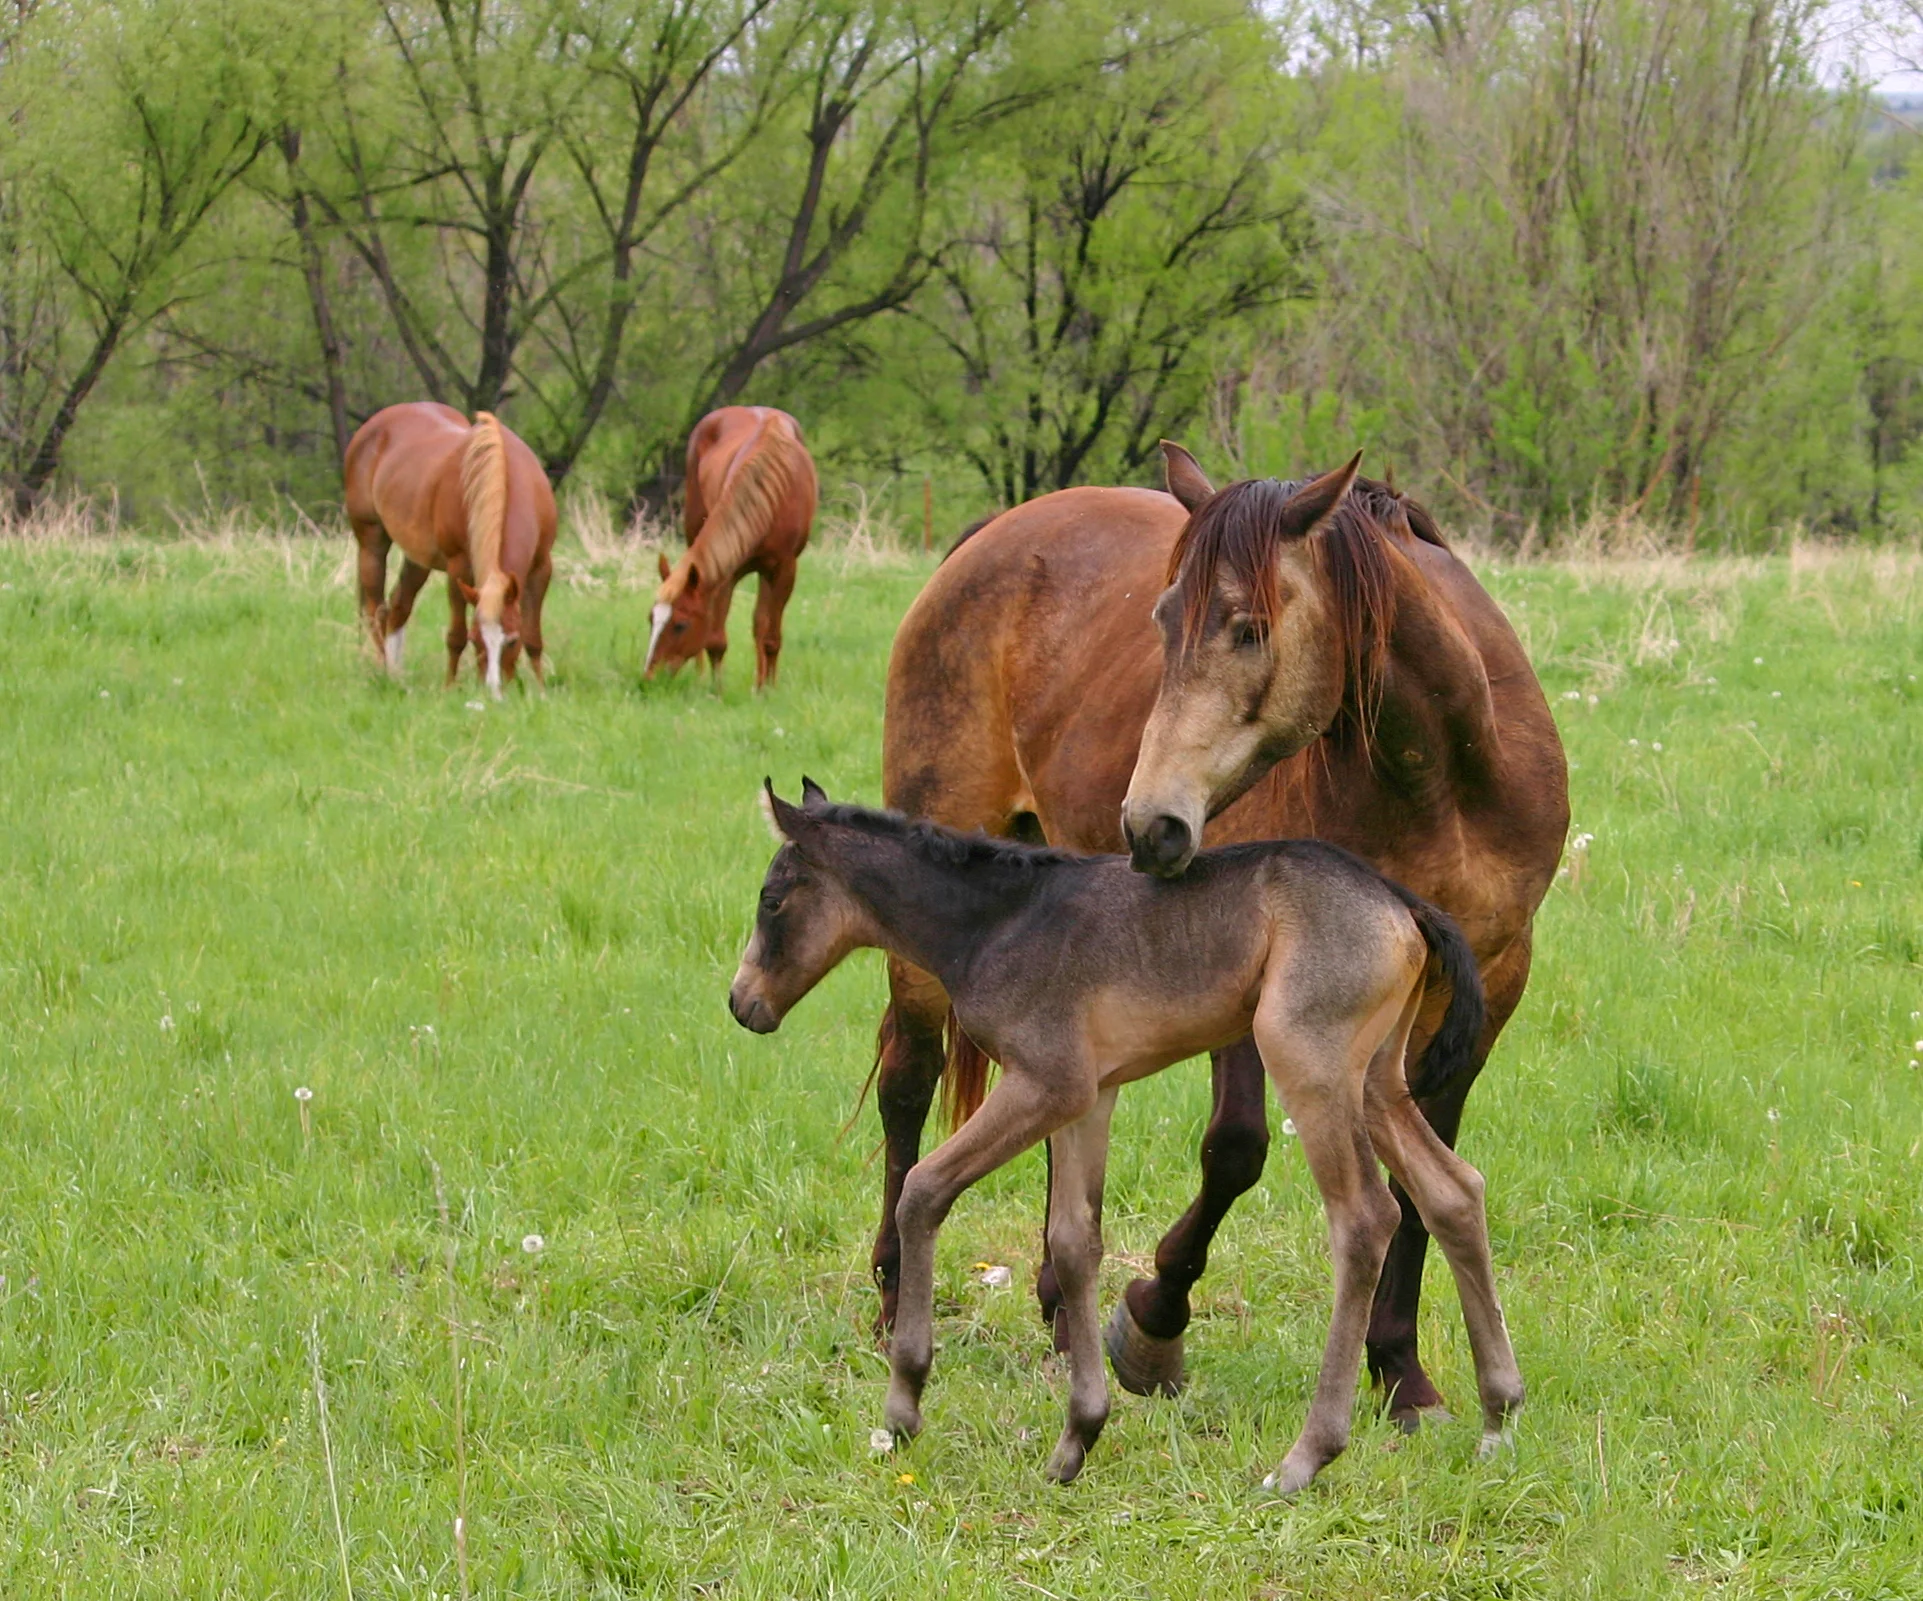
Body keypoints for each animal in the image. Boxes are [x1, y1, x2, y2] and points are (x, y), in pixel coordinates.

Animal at [343, 402, 557, 698]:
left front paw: (540, 689)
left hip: (417, 558)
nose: (494, 694)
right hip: (371, 542)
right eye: (476, 640)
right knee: (377, 612)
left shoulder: (541, 568)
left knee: (399, 606)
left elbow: (533, 636)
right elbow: (455, 635)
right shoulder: (459, 568)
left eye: (511, 641)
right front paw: (449, 687)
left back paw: (399, 675)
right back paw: (387, 674)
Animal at [647, 406, 817, 689]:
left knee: (760, 624)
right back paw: (700, 674)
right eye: (651, 619)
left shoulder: (784, 569)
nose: (650, 677)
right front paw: (716, 689)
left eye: (680, 625)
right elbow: (716, 640)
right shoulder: (727, 572)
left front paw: (767, 689)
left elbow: (770, 636)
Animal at [732, 780, 1525, 1489]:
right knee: (1454, 1191)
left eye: (771, 900)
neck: (995, 923)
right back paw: (1498, 1417)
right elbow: (1073, 1241)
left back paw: (1306, 1457)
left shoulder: (1045, 1083)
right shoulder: (1090, 1098)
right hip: (1378, 1082)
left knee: (1364, 1218)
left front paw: (902, 1407)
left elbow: (923, 1191)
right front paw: (1077, 1436)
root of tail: (1402, 903)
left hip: (1310, 1063)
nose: (743, 1004)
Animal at [870, 445, 1568, 1426]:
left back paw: (1057, 1308)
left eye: (1247, 628)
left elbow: (1423, 1170)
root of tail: (991, 537)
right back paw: (897, 1290)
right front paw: (1152, 1324)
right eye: (1162, 620)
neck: (1443, 775)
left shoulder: (1485, 984)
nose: (1150, 823)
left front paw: (1401, 1371)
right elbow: (1235, 1149)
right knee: (907, 1076)